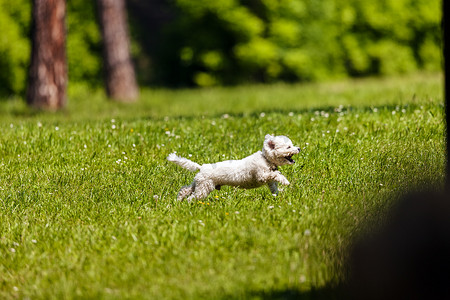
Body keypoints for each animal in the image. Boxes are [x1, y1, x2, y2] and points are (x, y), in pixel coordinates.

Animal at [167, 134, 300, 202]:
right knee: (192, 196)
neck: (266, 159)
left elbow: (274, 185)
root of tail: (201, 167)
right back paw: (189, 204)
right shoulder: (261, 175)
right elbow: (275, 175)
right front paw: (285, 181)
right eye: (288, 147)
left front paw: (277, 195)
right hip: (204, 188)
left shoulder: (269, 180)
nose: (298, 148)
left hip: (198, 183)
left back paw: (179, 200)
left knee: (185, 189)